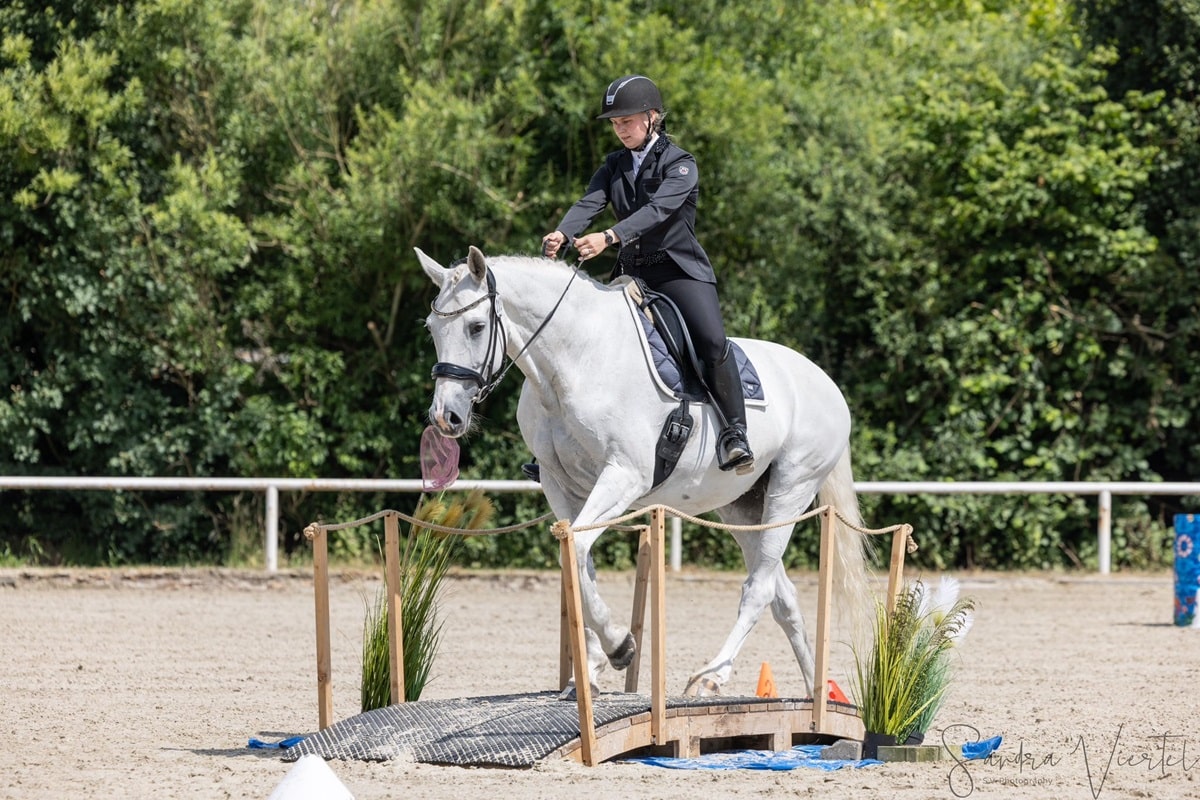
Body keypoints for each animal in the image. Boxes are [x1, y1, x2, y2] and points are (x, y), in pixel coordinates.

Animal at [422, 247, 873, 695]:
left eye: (477, 327)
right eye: (432, 329)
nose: (446, 417)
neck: (576, 358)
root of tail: (827, 384)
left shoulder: (624, 476)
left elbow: (578, 549)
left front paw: (619, 646)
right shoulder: (559, 484)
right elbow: (577, 562)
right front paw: (592, 669)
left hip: (791, 488)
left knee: (759, 588)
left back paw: (711, 677)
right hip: (743, 508)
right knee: (783, 596)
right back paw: (818, 694)